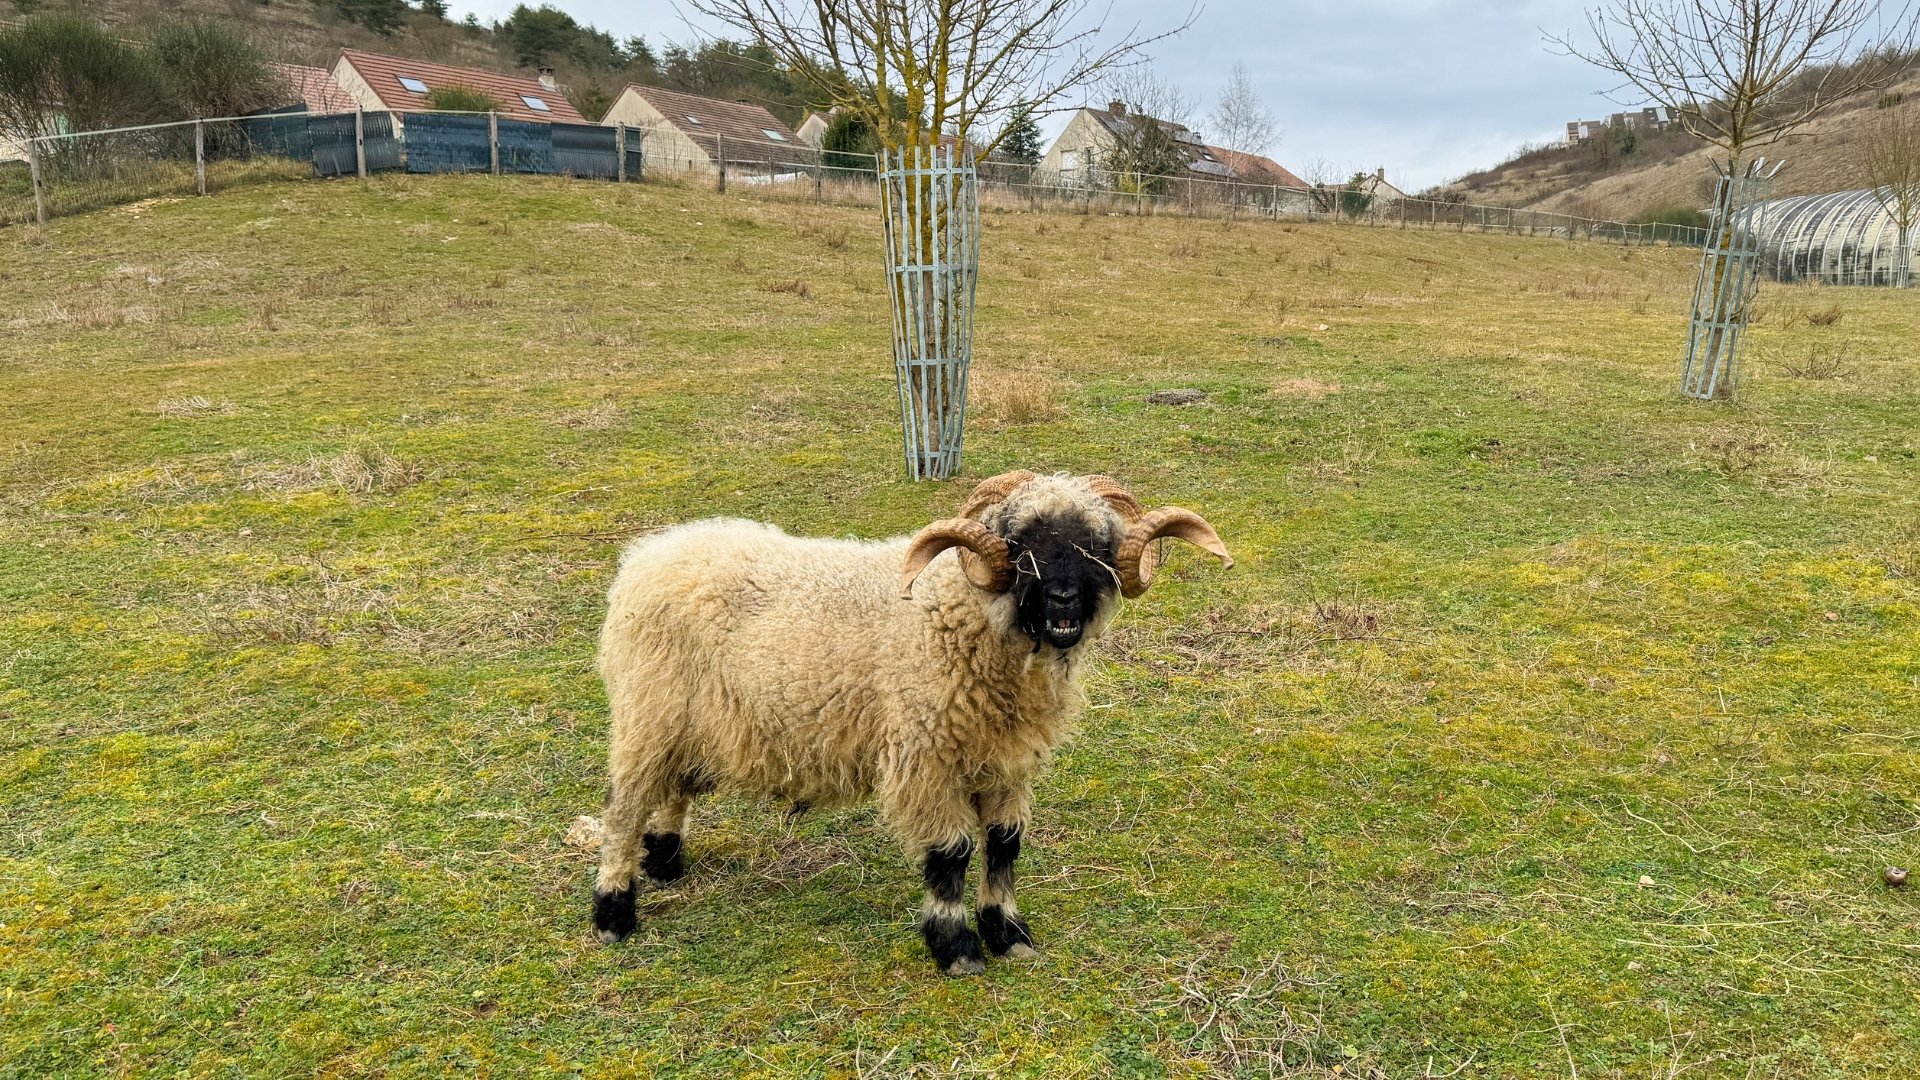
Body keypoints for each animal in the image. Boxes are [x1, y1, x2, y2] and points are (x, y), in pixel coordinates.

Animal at [591, 466, 1236, 972]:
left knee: (674, 788)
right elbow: (951, 853)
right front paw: (956, 947)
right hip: (649, 710)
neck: (962, 614)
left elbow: (1005, 843)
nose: (1063, 602)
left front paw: (1006, 932)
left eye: (1097, 546)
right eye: (1018, 542)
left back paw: (666, 862)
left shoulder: (1005, 758)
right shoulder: (925, 754)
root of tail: (649, 553)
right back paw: (613, 911)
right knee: (624, 807)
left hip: (693, 722)